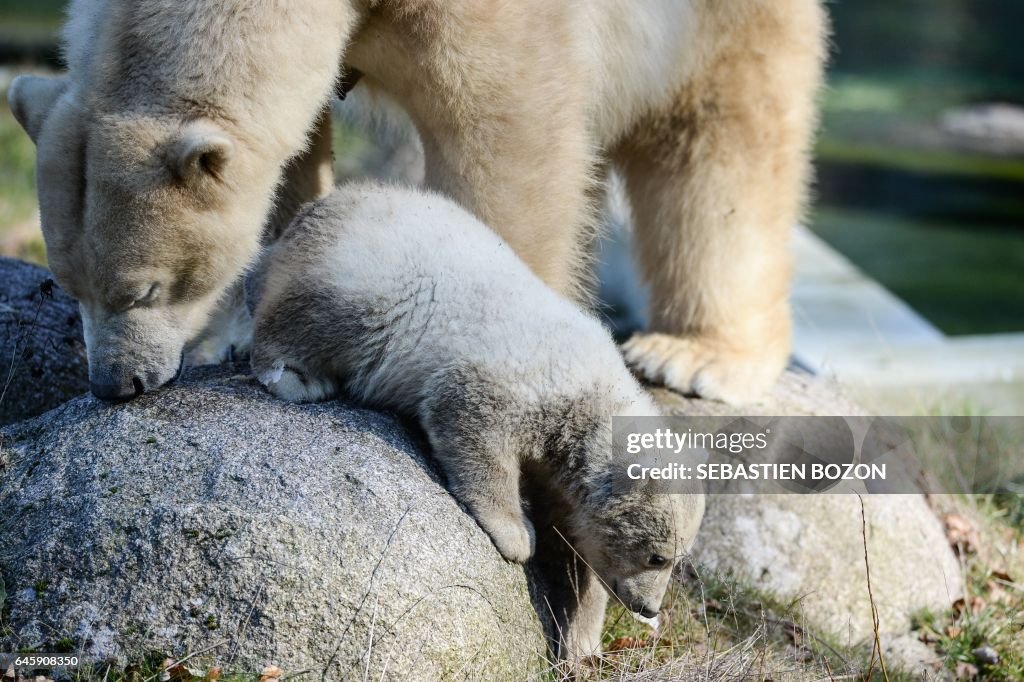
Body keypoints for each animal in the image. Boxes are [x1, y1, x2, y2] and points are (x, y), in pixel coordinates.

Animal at [8, 0, 827, 403]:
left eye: (145, 290)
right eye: (67, 284)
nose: (115, 385)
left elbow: (506, 129)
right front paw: (252, 329)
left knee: (721, 143)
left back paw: (694, 357)